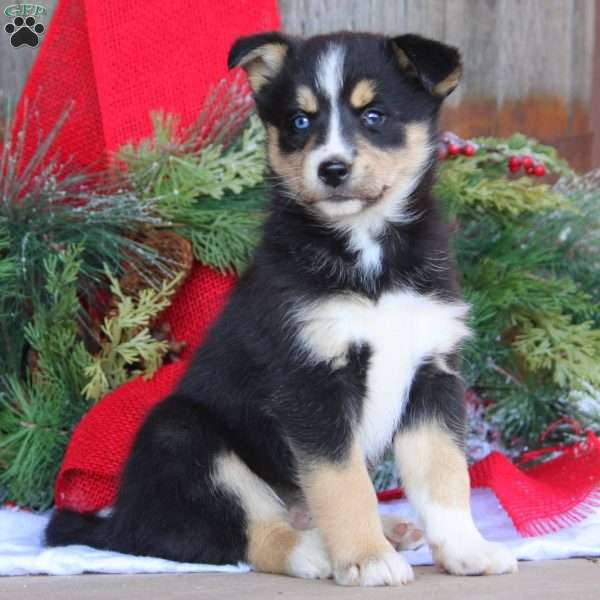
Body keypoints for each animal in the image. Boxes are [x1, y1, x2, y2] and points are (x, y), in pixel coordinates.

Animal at [45, 31, 516, 584]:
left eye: (374, 115)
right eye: (299, 121)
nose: (331, 169)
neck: (368, 258)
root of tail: (120, 521)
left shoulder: (432, 373)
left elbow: (445, 478)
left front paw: (468, 550)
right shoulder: (311, 382)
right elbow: (344, 484)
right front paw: (366, 558)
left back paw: (390, 530)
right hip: (182, 433)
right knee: (250, 535)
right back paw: (319, 552)